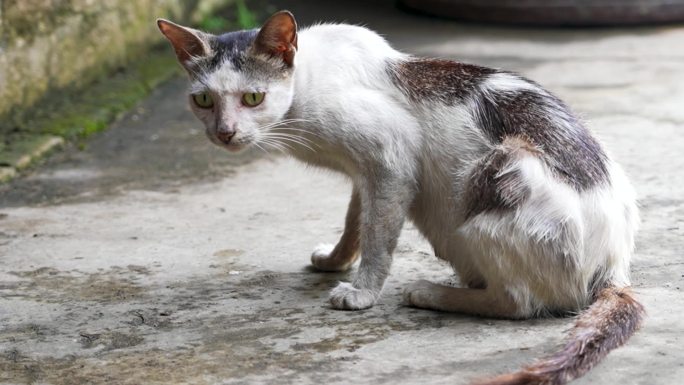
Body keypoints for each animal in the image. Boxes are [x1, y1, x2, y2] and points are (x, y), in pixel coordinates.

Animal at [158, 11, 644, 384]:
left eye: (253, 97)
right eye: (204, 100)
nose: (225, 133)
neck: (303, 95)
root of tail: (615, 266)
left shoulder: (392, 160)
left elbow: (378, 237)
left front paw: (361, 292)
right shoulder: (367, 174)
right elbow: (356, 221)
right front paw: (335, 260)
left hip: (494, 180)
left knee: (520, 303)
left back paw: (431, 293)